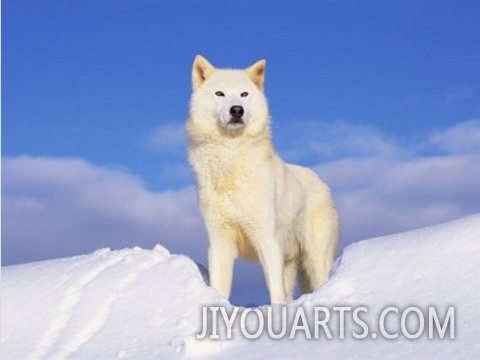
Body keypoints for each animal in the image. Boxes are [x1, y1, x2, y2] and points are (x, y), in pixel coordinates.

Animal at [186, 55, 340, 304]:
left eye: (244, 94)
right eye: (220, 93)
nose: (236, 110)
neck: (231, 160)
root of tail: (321, 181)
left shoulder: (267, 240)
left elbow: (275, 293)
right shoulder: (219, 243)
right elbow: (220, 288)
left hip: (315, 261)